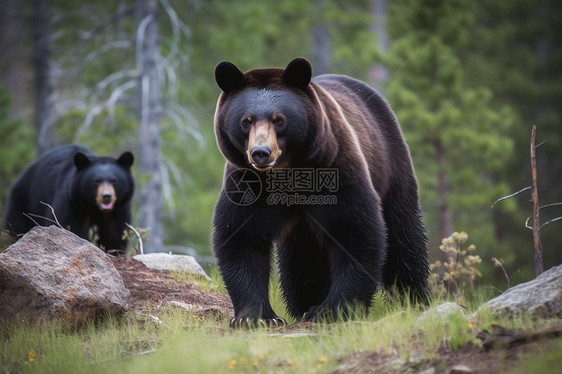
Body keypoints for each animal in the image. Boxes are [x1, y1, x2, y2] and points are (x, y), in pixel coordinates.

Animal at [4, 144, 135, 251]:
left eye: (114, 180)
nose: (106, 196)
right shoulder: (72, 203)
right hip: (25, 198)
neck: (92, 205)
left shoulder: (118, 209)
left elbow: (114, 233)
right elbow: (69, 224)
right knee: (17, 223)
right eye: (96, 181)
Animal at [212, 56, 426, 328]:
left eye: (279, 119)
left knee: (403, 233)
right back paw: (303, 302)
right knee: (303, 256)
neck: (287, 174)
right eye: (246, 121)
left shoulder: (336, 168)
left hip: (391, 161)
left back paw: (411, 297)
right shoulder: (246, 182)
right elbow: (243, 237)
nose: (260, 152)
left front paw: (332, 310)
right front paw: (255, 317)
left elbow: (355, 231)